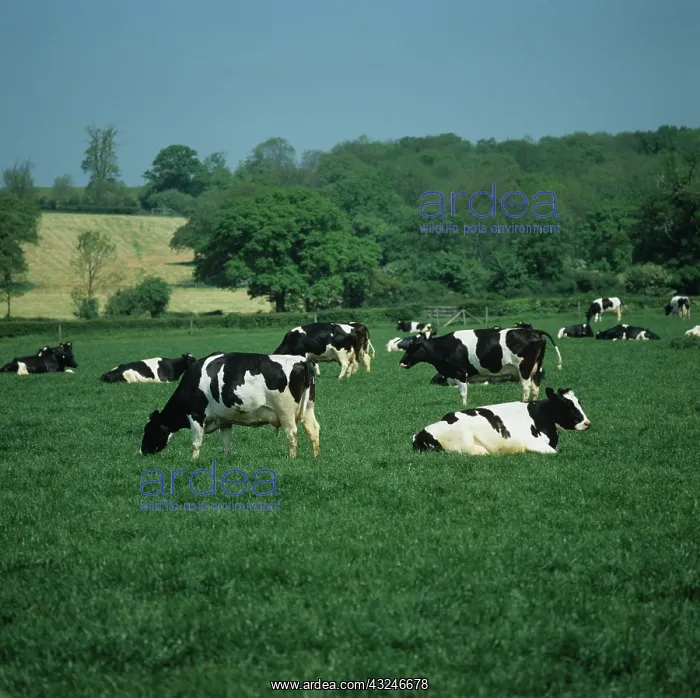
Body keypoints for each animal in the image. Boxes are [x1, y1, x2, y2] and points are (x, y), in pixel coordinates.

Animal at [140, 353, 320, 460]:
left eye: (149, 430)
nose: (142, 451)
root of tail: (301, 360)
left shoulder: (196, 415)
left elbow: (196, 442)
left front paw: (193, 460)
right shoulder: (224, 420)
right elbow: (226, 441)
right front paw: (226, 458)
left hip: (285, 411)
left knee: (292, 433)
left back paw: (291, 458)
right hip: (308, 407)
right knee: (314, 429)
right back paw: (315, 456)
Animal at [398, 327, 562, 407]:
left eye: (412, 347)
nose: (402, 362)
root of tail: (534, 331)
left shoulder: (460, 372)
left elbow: (463, 392)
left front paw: (463, 407)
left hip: (524, 368)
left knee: (527, 387)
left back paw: (523, 403)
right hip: (536, 368)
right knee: (536, 387)